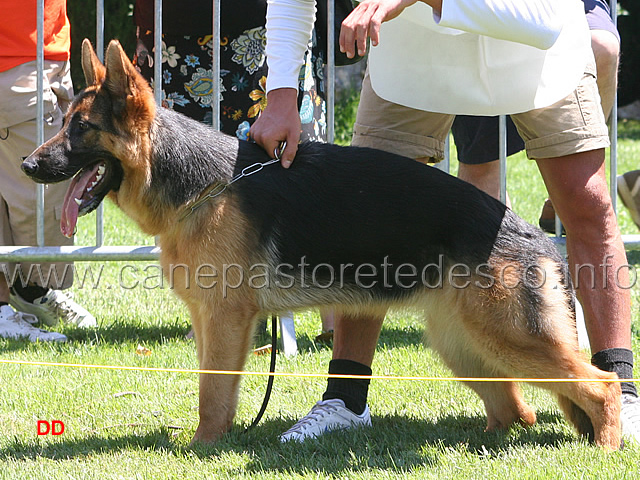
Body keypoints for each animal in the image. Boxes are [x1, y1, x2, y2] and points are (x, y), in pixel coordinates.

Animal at [23, 40, 620, 450]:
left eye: (81, 129)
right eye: (62, 123)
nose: (29, 165)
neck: (199, 184)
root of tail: (538, 238)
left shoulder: (226, 319)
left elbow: (213, 393)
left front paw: (203, 448)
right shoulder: (212, 321)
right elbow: (213, 390)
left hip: (508, 339)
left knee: (600, 385)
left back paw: (606, 445)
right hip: (466, 346)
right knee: (518, 411)